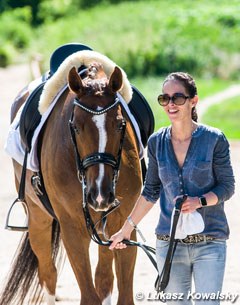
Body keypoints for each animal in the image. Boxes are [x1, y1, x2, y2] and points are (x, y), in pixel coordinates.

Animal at [0, 61, 142, 302]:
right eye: (75, 126)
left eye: (120, 124)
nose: (101, 195)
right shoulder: (73, 230)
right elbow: (89, 297)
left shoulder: (123, 225)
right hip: (38, 219)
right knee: (48, 274)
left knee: (104, 278)